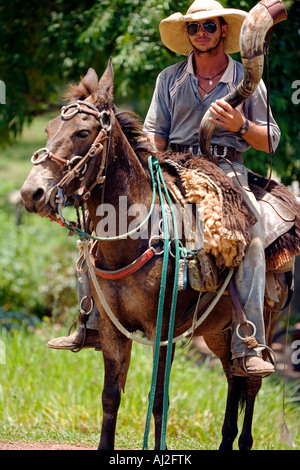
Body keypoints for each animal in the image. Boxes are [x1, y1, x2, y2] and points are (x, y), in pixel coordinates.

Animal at [19, 0, 296, 452]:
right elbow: (110, 398)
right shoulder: (112, 332)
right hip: (219, 331)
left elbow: (158, 400)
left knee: (250, 381)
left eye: (82, 132)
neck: (128, 241)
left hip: (265, 324)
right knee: (232, 377)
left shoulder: (163, 327)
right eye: (47, 129)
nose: (32, 193)